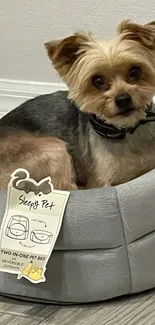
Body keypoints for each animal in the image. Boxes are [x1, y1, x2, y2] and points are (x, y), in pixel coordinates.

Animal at [0, 18, 155, 190]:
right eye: (97, 80)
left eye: (135, 71)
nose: (123, 99)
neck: (127, 130)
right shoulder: (99, 182)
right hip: (52, 149)